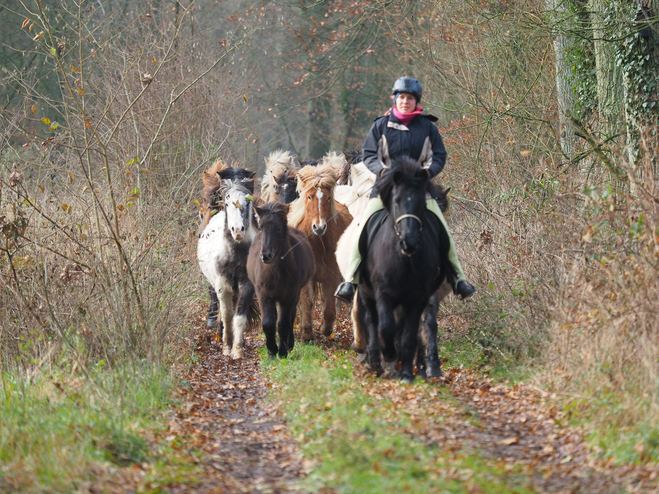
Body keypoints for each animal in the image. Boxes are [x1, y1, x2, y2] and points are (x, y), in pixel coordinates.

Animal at [196, 168, 258, 356]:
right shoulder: (222, 287)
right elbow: (227, 315)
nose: (237, 230)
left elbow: (239, 317)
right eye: (228, 203)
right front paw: (226, 347)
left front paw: (237, 350)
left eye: (247, 203)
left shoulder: (246, 285)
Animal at [250, 203, 318, 356]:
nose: (266, 256)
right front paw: (271, 351)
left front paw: (282, 351)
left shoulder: (288, 296)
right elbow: (268, 323)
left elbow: (284, 323)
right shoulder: (264, 295)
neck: (276, 273)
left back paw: (290, 344)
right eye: (261, 227)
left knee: (291, 317)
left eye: (279, 228)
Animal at [288, 164, 350, 342]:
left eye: (328, 198)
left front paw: (325, 329)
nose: (319, 227)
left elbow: (329, 307)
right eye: (309, 197)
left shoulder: (332, 275)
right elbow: (307, 302)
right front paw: (306, 333)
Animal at [356, 154, 454, 382]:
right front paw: (390, 356)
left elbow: (422, 327)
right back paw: (377, 360)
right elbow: (386, 326)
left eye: (425, 204)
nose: (409, 241)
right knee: (372, 320)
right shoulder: (383, 292)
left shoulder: (424, 295)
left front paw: (425, 367)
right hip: (368, 293)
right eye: (396, 201)